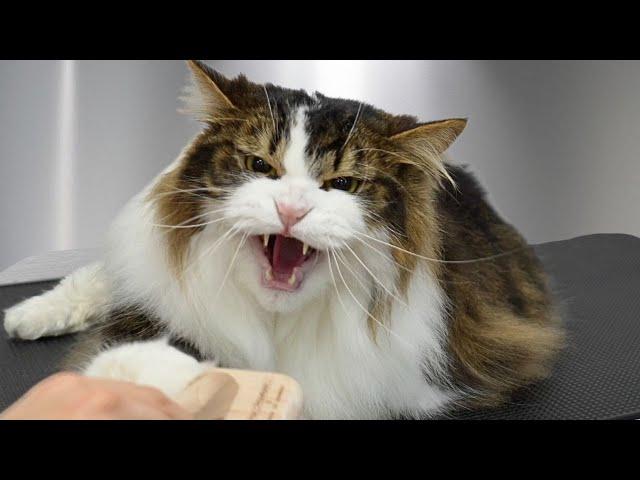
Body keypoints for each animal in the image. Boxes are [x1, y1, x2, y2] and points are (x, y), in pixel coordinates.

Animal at [5, 61, 564, 420]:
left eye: (343, 184)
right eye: (259, 165)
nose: (291, 210)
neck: (275, 322)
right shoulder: (149, 309)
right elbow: (122, 350)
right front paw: (137, 375)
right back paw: (27, 314)